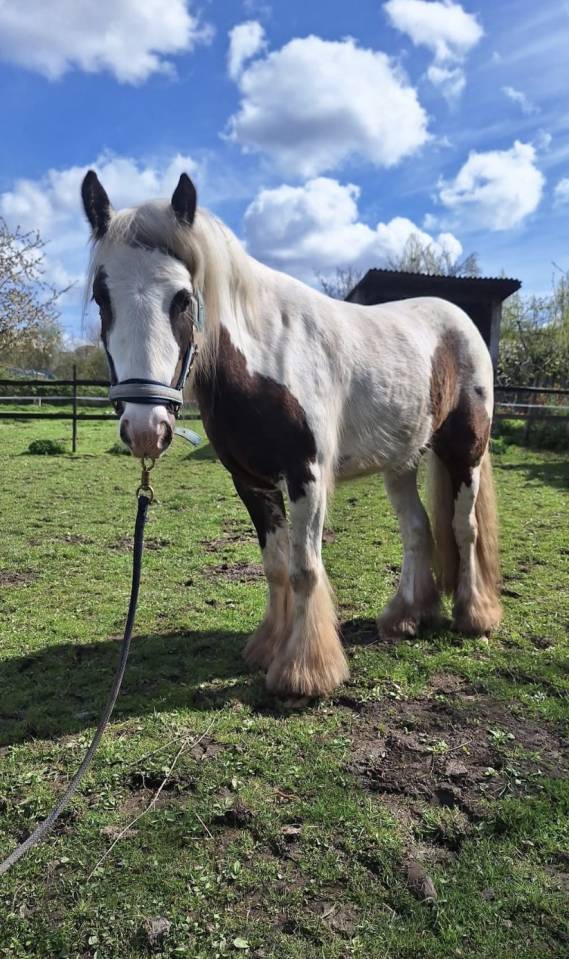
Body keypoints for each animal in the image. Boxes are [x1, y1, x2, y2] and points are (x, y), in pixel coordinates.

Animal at [81, 170, 501, 699]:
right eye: (102, 297)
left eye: (182, 298)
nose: (145, 430)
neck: (265, 358)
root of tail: (460, 320)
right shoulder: (251, 482)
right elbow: (276, 565)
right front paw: (268, 646)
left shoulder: (307, 477)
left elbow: (305, 568)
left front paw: (304, 672)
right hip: (401, 462)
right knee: (417, 529)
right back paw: (406, 617)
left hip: (464, 451)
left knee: (464, 528)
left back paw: (474, 615)